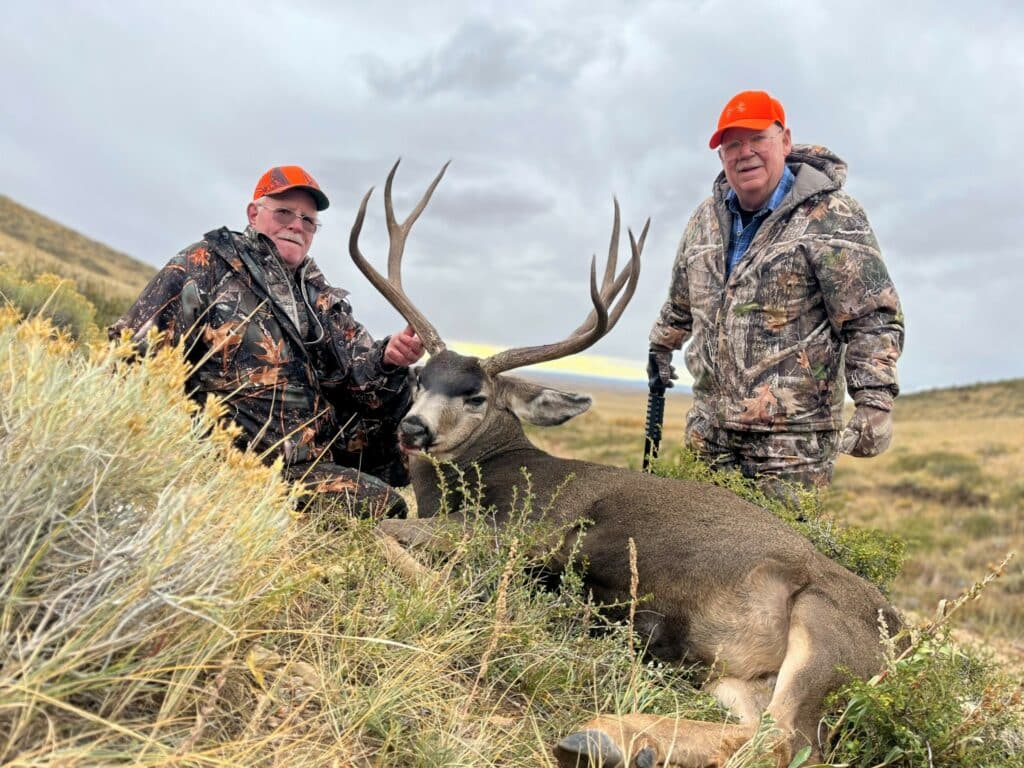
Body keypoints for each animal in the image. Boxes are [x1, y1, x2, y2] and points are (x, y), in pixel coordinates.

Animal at [348, 160, 903, 768]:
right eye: (420, 377)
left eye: (475, 396)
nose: (412, 429)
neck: (490, 466)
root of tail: (903, 643)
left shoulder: (523, 528)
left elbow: (379, 528)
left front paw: (454, 589)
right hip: (738, 677)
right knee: (752, 730)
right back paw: (612, 741)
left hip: (825, 630)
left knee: (784, 739)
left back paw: (599, 734)